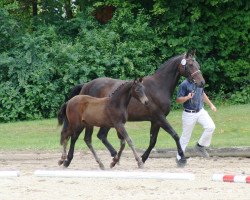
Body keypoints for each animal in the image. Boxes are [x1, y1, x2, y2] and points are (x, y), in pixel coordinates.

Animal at [58, 50, 205, 168]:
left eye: (198, 65)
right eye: (190, 65)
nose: (202, 82)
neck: (159, 86)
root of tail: (86, 85)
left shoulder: (155, 121)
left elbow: (152, 141)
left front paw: (143, 159)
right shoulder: (159, 117)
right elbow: (175, 135)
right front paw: (182, 159)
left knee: (99, 136)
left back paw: (114, 157)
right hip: (86, 122)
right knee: (75, 137)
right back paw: (68, 160)